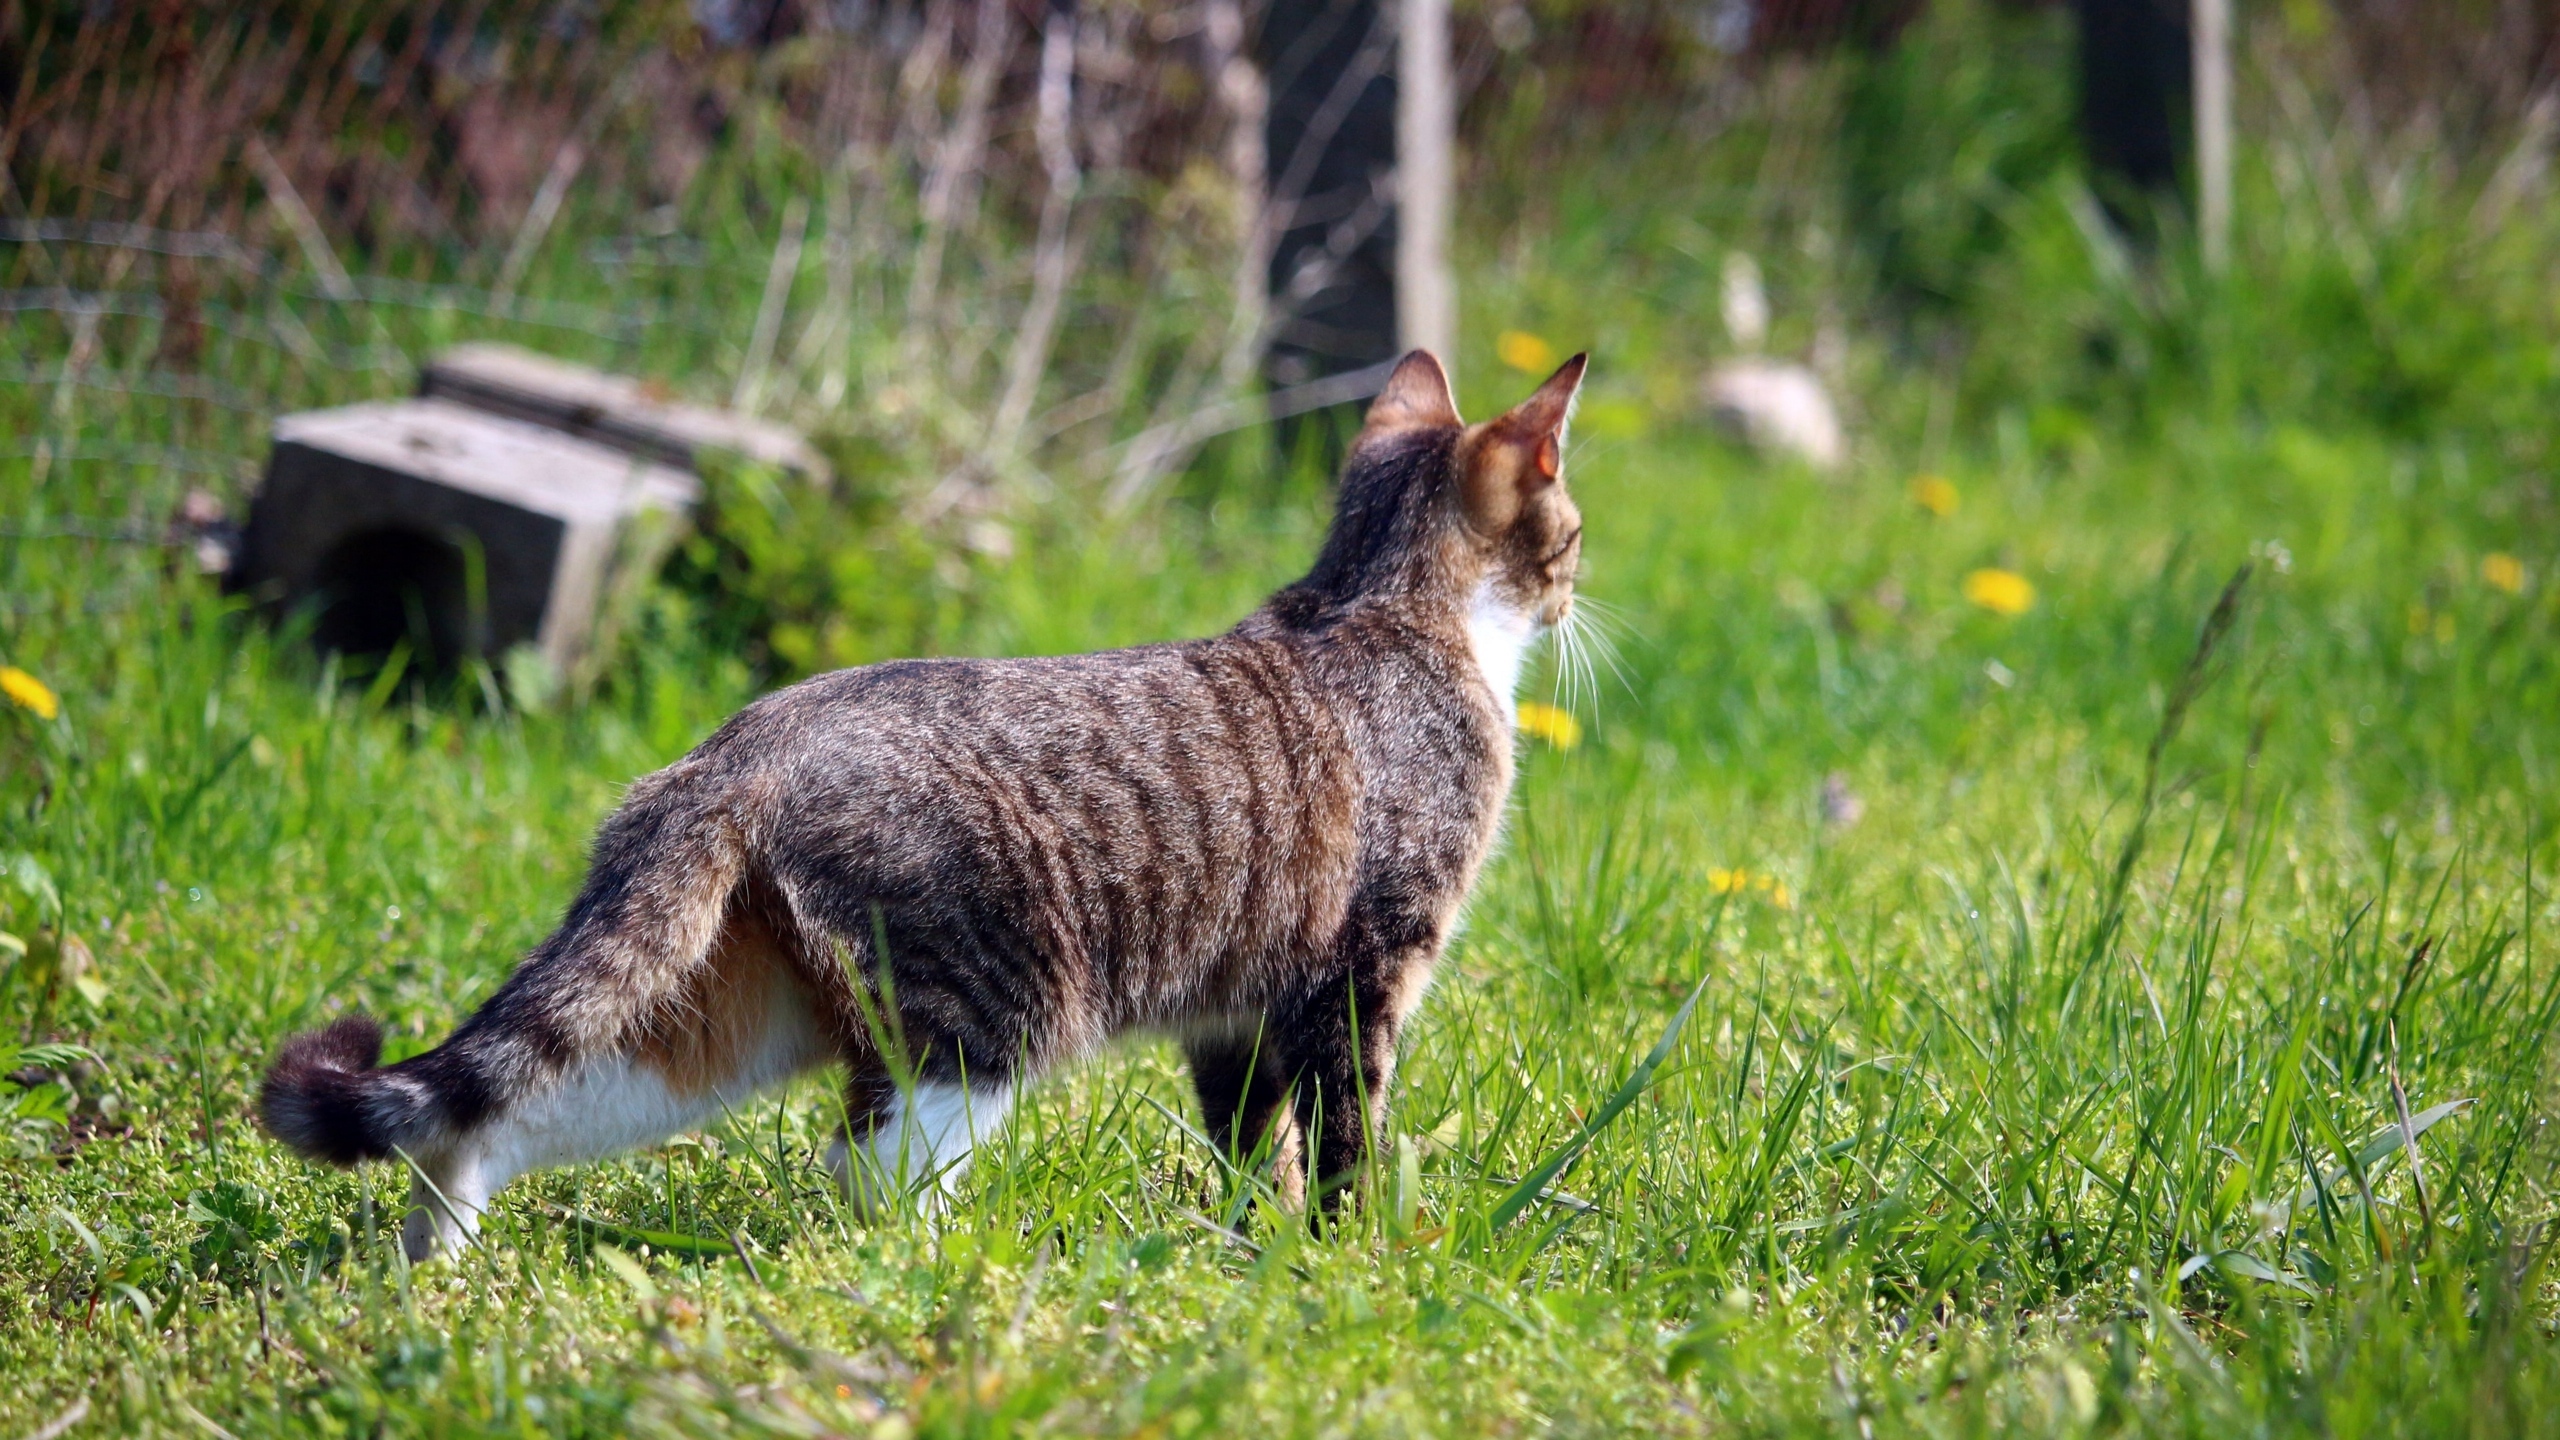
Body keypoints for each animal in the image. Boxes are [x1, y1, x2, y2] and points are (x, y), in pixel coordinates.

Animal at [259, 348, 1576, 1255]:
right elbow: (1346, 1135)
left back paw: (436, 1257)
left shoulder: (1235, 1010)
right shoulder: (1362, 971)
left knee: (505, 1112)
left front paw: (1256, 1251)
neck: (1381, 602)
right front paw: (1351, 1258)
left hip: (729, 1020)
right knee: (864, 1179)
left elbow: (1259, 1150)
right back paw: (962, 1271)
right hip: (990, 1019)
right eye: (1566, 528)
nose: (1577, 590)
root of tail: (741, 746)